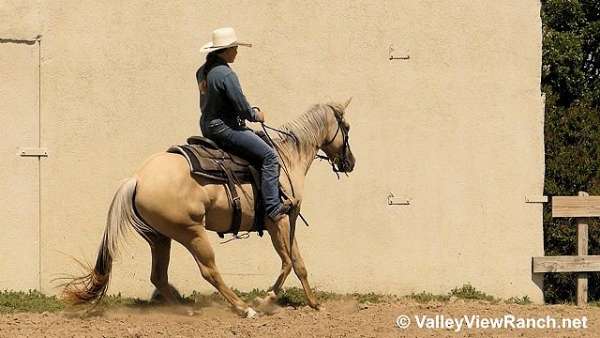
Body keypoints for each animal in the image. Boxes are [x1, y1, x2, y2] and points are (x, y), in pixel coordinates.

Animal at [64, 99, 356, 318]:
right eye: (347, 127)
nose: (350, 162)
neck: (286, 158)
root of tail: (137, 179)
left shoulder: (290, 221)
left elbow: (299, 264)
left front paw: (315, 304)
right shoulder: (278, 220)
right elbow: (286, 263)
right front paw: (266, 299)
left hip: (160, 237)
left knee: (158, 276)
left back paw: (185, 310)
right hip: (191, 233)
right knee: (209, 271)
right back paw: (243, 308)